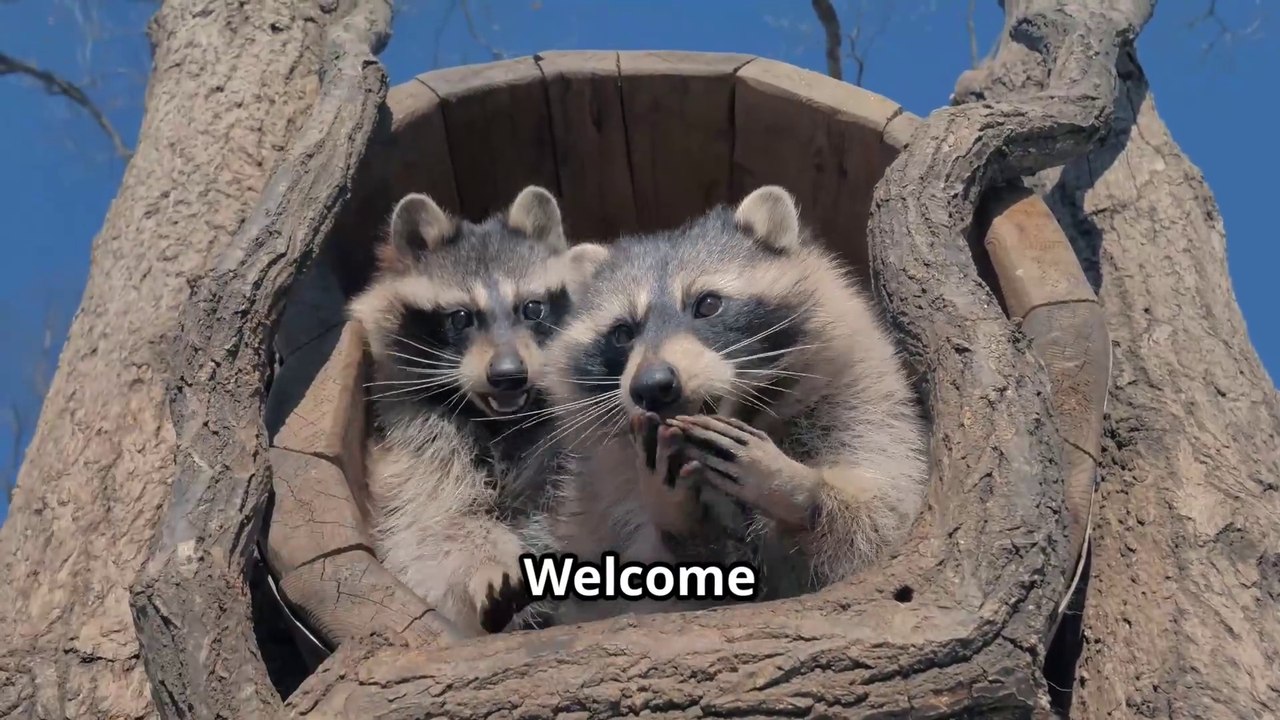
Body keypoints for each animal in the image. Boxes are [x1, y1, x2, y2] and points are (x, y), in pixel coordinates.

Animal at [349, 185, 602, 638]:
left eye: (532, 308)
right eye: (461, 317)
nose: (509, 375)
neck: (501, 421)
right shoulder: (417, 438)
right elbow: (427, 527)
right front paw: (488, 561)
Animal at [542, 185, 929, 615]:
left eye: (708, 304)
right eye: (623, 333)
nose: (652, 385)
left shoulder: (860, 402)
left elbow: (878, 520)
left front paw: (797, 486)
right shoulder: (608, 484)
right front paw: (678, 518)